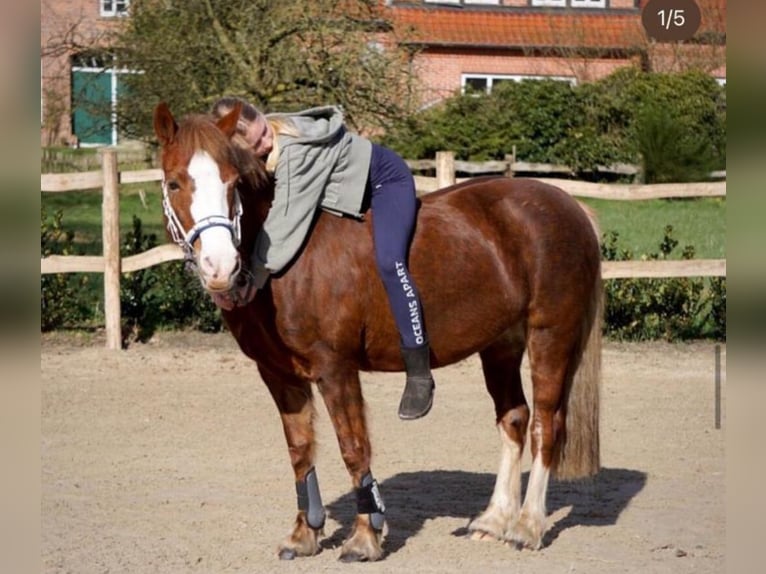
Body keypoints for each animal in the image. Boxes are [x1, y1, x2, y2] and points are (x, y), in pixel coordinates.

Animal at [152, 102, 608, 564]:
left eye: (231, 182)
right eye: (173, 182)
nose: (219, 266)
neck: (288, 262)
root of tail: (571, 206)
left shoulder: (336, 369)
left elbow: (353, 448)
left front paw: (364, 537)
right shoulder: (278, 375)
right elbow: (300, 450)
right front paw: (304, 534)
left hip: (550, 334)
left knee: (546, 424)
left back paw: (527, 526)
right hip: (501, 345)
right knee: (514, 419)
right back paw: (493, 521)